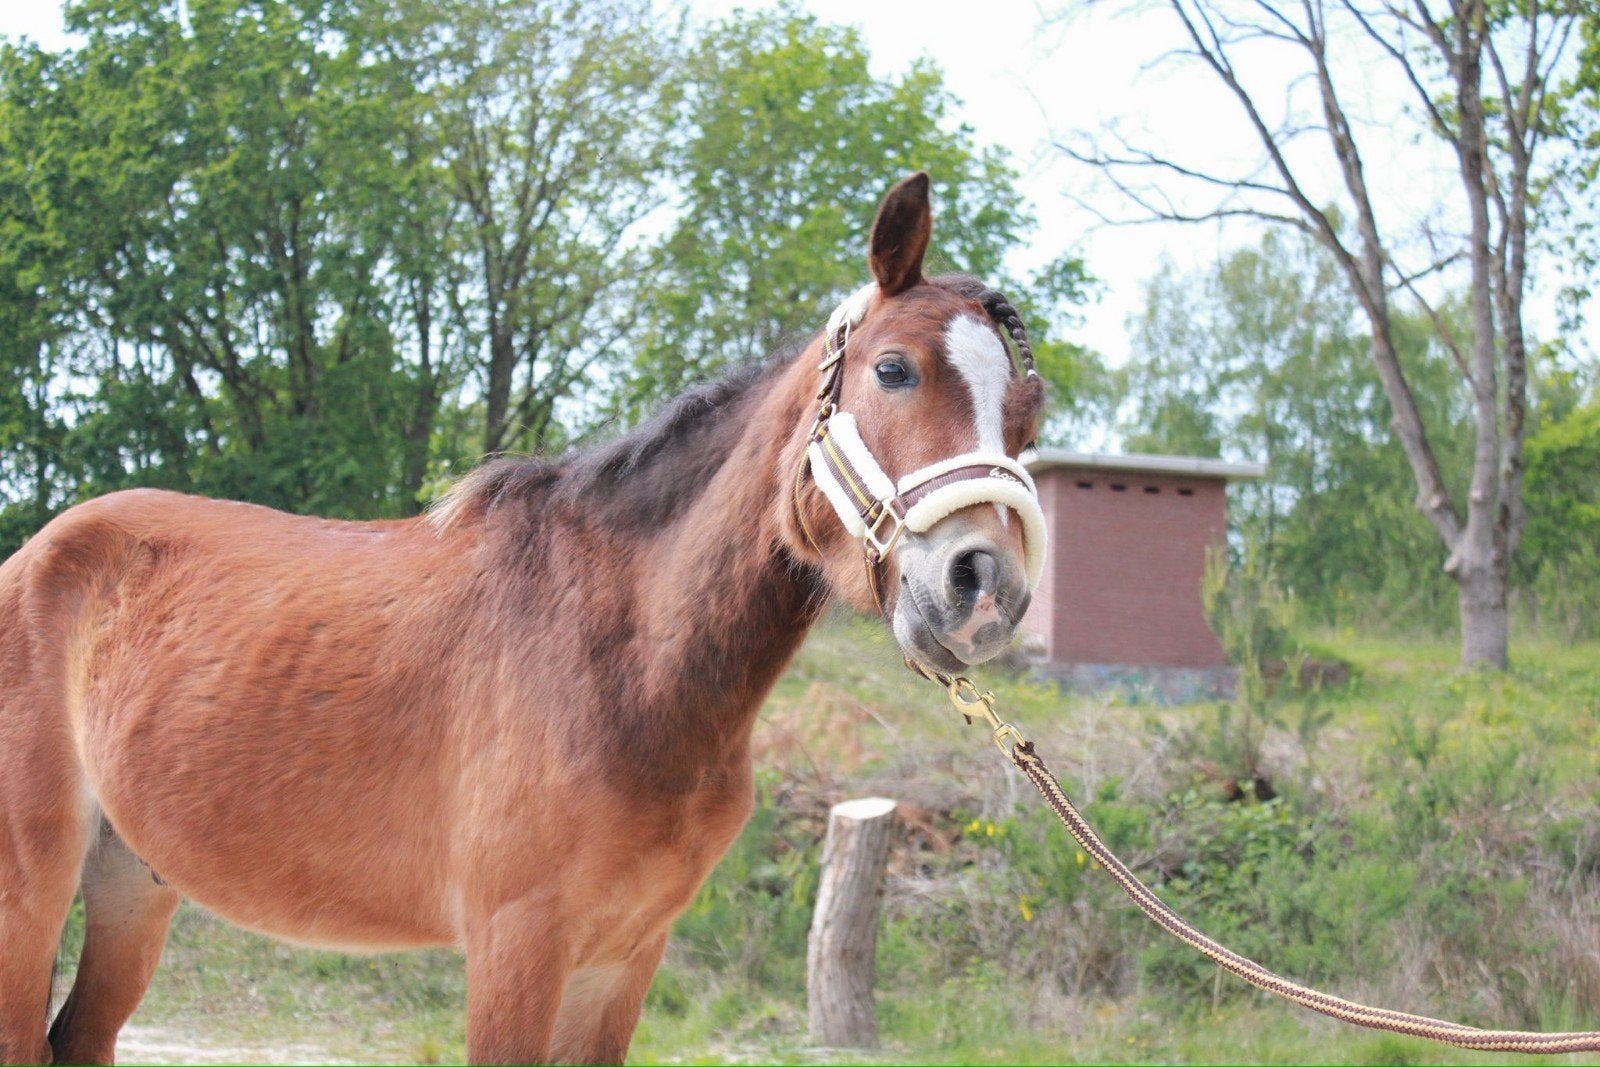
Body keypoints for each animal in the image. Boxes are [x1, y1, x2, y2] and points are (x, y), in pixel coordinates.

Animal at [0, 172, 1048, 1065]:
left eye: (1028, 415)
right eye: (894, 369)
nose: (983, 586)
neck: (621, 660)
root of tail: (37, 555)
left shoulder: (622, 956)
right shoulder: (518, 947)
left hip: (133, 880)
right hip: (30, 890)